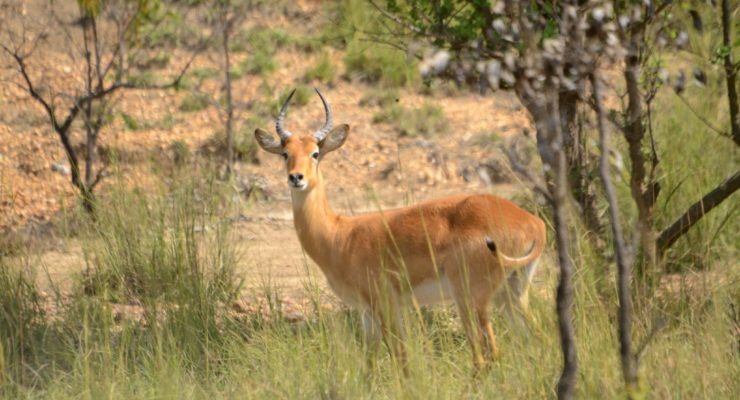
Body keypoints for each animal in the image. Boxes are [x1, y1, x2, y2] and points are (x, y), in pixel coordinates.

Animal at [253, 89, 544, 370]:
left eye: (315, 153)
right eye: (285, 153)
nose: (296, 177)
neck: (339, 236)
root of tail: (533, 223)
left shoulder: (386, 306)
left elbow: (400, 358)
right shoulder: (367, 313)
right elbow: (369, 365)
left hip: (472, 300)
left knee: (487, 355)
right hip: (511, 296)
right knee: (534, 338)